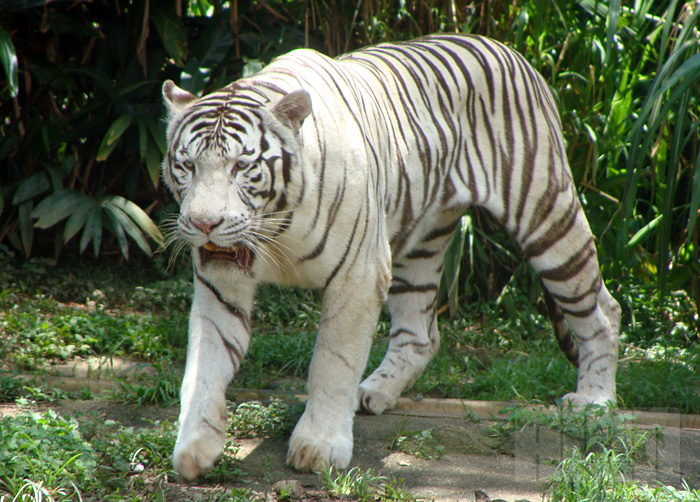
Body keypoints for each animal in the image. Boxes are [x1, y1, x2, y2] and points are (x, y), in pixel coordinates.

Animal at [159, 33, 616, 480]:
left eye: (241, 166)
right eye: (188, 165)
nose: (203, 223)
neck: (274, 226)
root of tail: (511, 52)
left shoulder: (358, 275)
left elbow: (333, 363)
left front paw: (319, 447)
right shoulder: (221, 285)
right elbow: (203, 367)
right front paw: (195, 447)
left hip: (546, 218)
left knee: (602, 312)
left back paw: (594, 401)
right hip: (421, 247)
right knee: (421, 333)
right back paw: (375, 391)